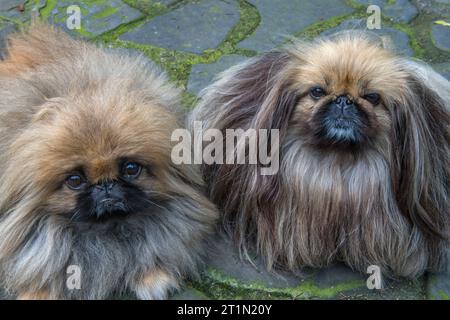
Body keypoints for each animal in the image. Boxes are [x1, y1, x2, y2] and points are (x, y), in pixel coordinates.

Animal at [0, 23, 218, 300]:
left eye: (131, 168)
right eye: (74, 180)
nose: (105, 185)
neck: (106, 231)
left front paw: (153, 278)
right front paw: (39, 293)